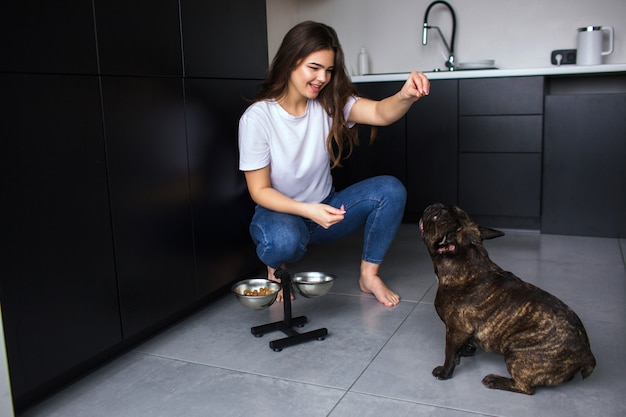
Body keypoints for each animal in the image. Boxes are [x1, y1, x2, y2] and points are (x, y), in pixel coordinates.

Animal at [416, 202, 592, 394]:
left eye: (436, 218)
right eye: (453, 207)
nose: (436, 206)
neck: (466, 262)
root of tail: (587, 355)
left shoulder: (456, 329)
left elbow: (449, 352)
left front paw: (444, 372)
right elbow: (460, 348)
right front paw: (466, 350)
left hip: (516, 355)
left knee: (526, 388)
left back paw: (495, 380)